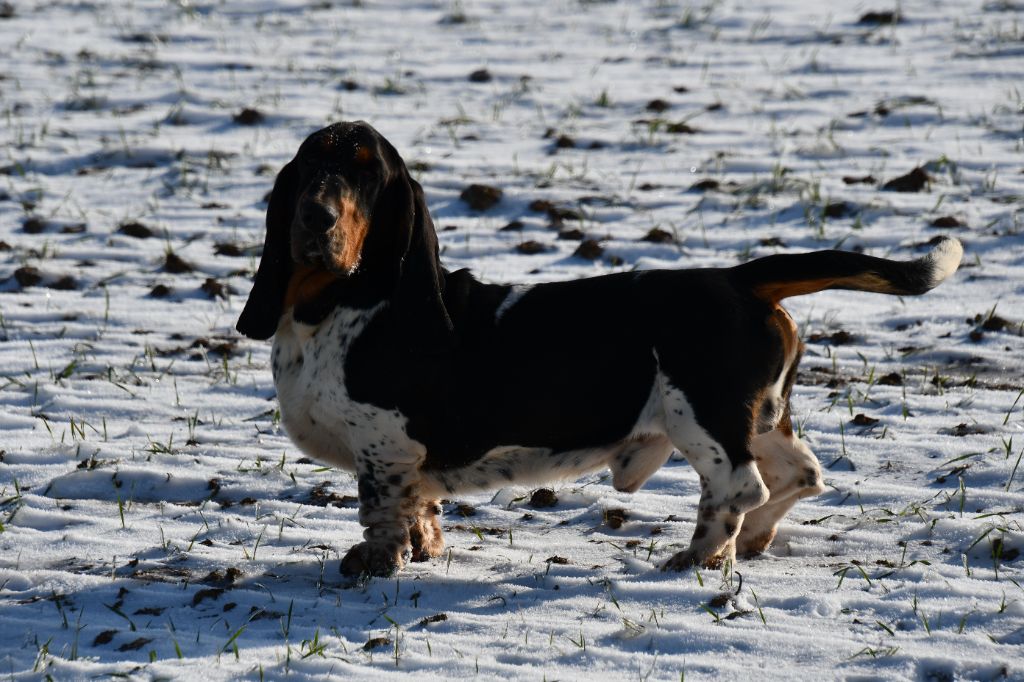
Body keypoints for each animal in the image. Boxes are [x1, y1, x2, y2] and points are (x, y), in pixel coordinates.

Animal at [235, 120, 962, 573]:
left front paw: (377, 564)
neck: (338, 303)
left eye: (365, 175)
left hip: (699, 415)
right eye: (310, 167)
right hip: (757, 415)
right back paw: (748, 546)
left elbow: (383, 509)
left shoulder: (384, 447)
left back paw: (697, 558)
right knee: (799, 474)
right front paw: (426, 548)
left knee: (738, 486)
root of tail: (737, 278)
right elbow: (421, 506)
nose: (317, 218)